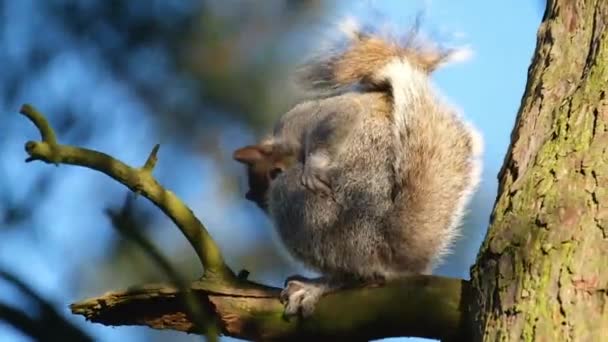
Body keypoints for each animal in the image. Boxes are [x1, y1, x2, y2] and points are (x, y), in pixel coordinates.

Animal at [234, 22, 484, 318]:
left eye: (273, 173)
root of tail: (387, 250)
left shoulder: (310, 119)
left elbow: (335, 124)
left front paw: (314, 166)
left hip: (319, 217)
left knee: (355, 274)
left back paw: (316, 286)